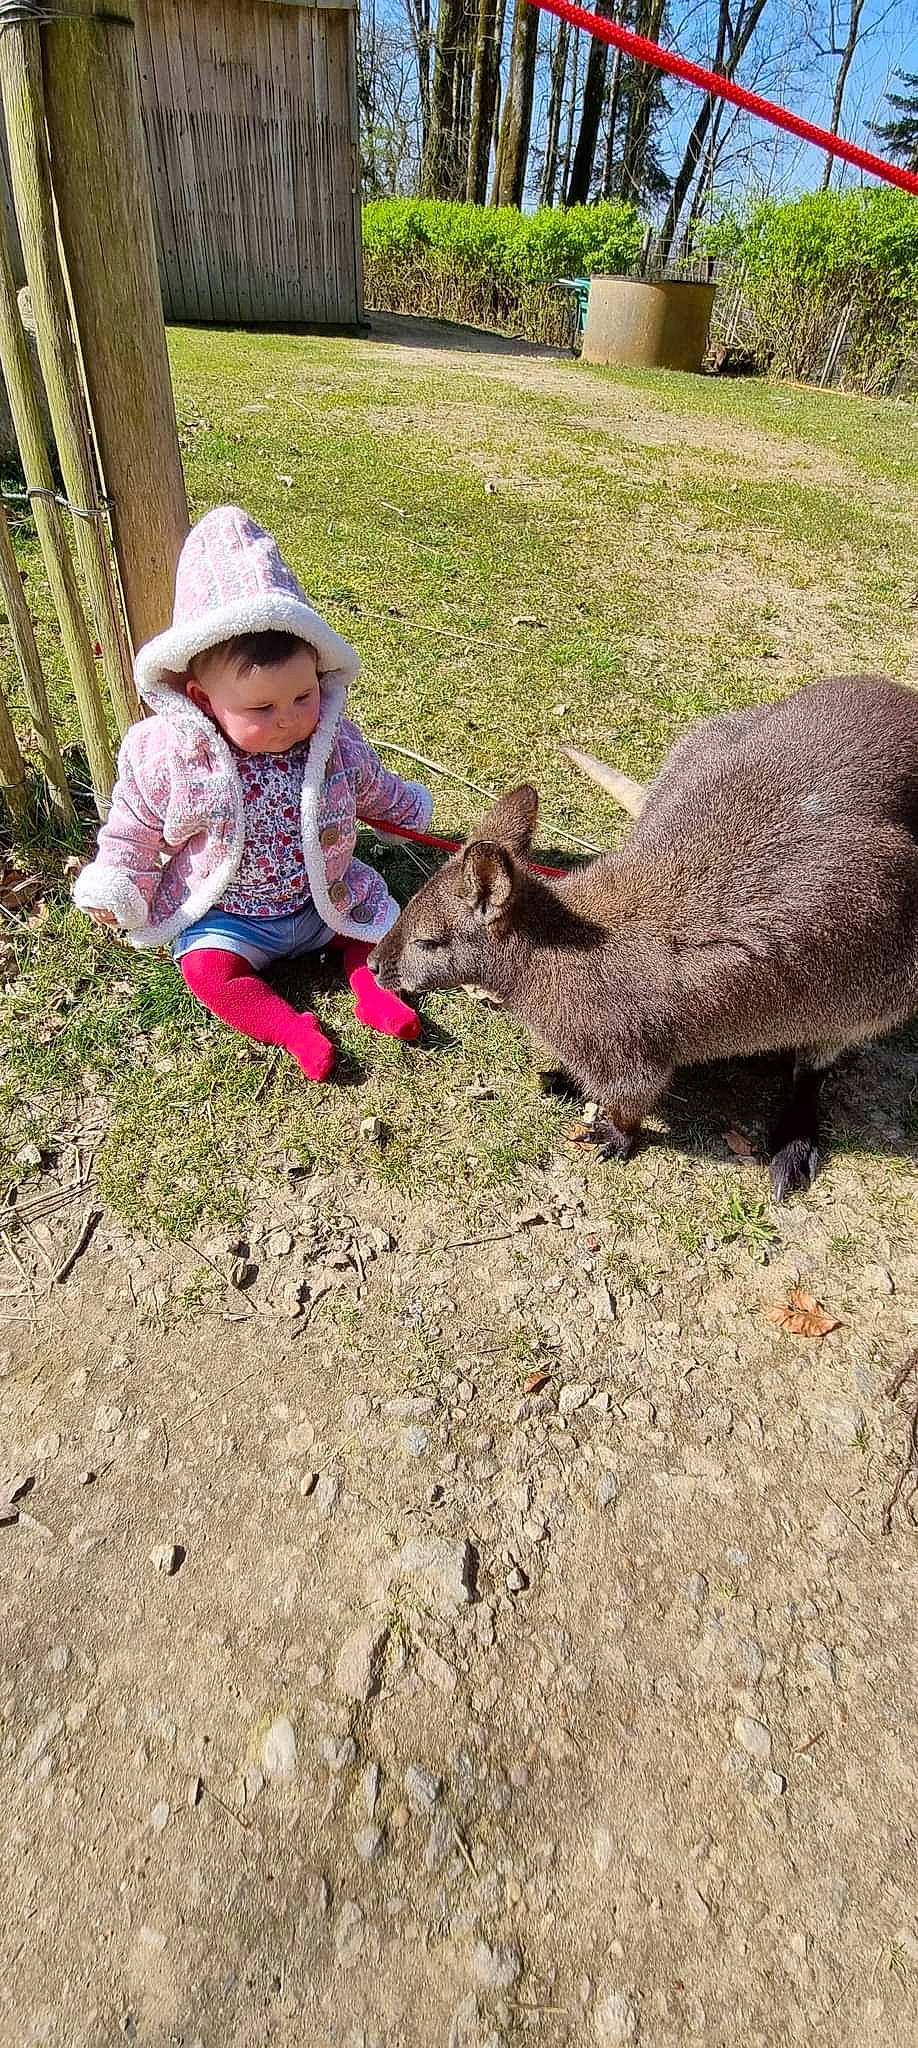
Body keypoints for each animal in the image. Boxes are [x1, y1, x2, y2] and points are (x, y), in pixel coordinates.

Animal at [370, 676, 918, 1199]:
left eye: (428, 942)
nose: (374, 965)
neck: (547, 949)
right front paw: (566, 1082)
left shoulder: (627, 1051)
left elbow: (633, 1103)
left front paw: (612, 1136)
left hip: (878, 982)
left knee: (817, 1064)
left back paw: (793, 1142)